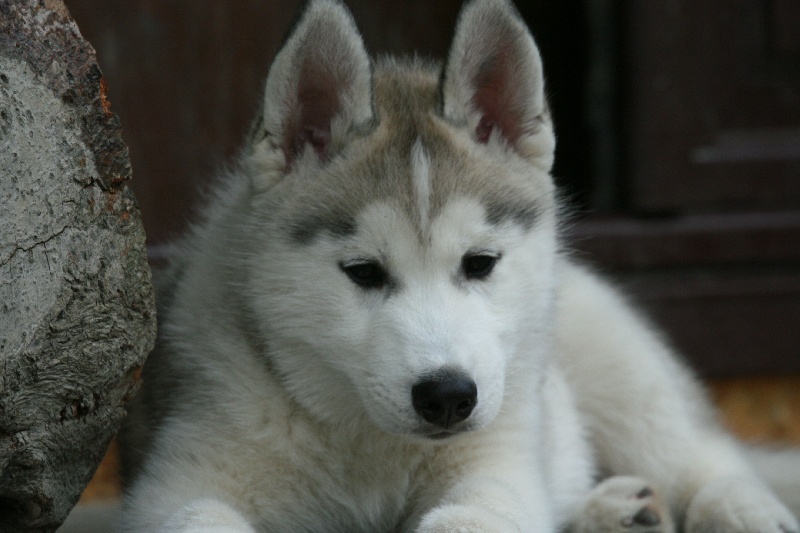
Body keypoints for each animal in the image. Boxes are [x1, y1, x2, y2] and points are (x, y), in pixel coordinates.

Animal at [119, 1, 800, 532]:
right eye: (363, 272)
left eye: (480, 263)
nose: (447, 396)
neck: (366, 441)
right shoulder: (182, 476)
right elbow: (194, 514)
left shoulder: (495, 465)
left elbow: (474, 513)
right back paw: (612, 511)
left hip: (612, 361)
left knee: (701, 454)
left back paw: (741, 510)